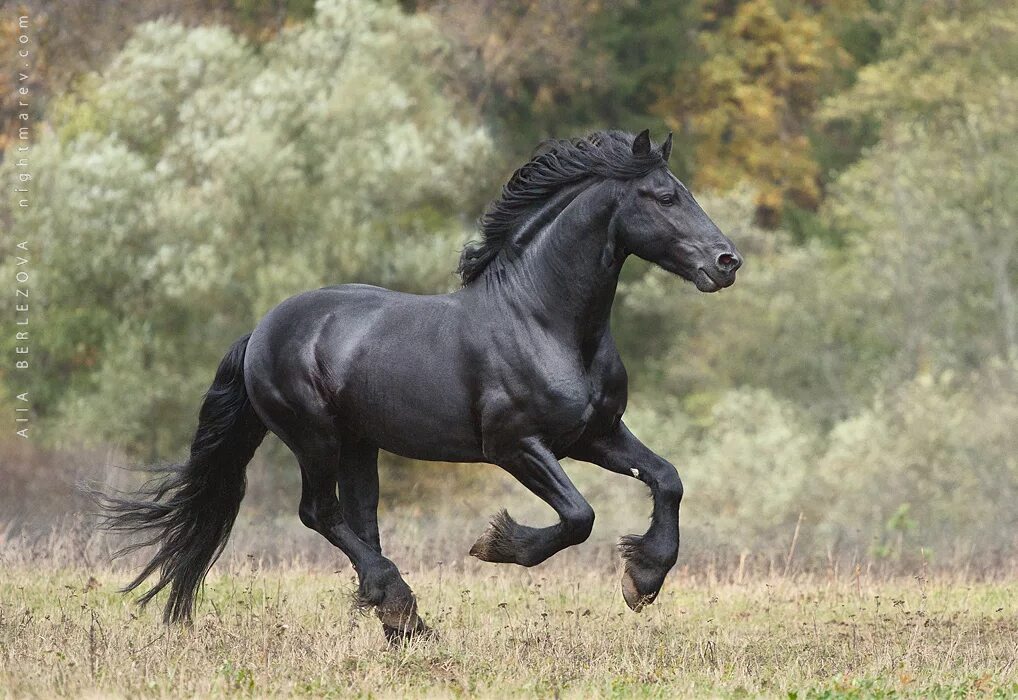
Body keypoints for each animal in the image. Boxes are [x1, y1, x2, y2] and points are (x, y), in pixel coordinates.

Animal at [101, 129, 741, 638]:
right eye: (665, 196)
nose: (726, 262)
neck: (544, 321)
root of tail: (260, 330)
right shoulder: (514, 446)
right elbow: (579, 516)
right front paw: (497, 545)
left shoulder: (595, 435)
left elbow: (668, 479)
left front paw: (644, 578)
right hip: (315, 437)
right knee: (319, 513)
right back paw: (402, 608)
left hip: (360, 442)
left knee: (359, 519)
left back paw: (396, 616)